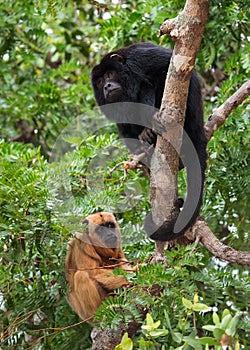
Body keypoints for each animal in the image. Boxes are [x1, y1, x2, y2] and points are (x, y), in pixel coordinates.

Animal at [90, 42, 207, 242]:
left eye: (109, 74)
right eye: (98, 83)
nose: (106, 86)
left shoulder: (139, 59)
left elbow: (164, 68)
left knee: (149, 85)